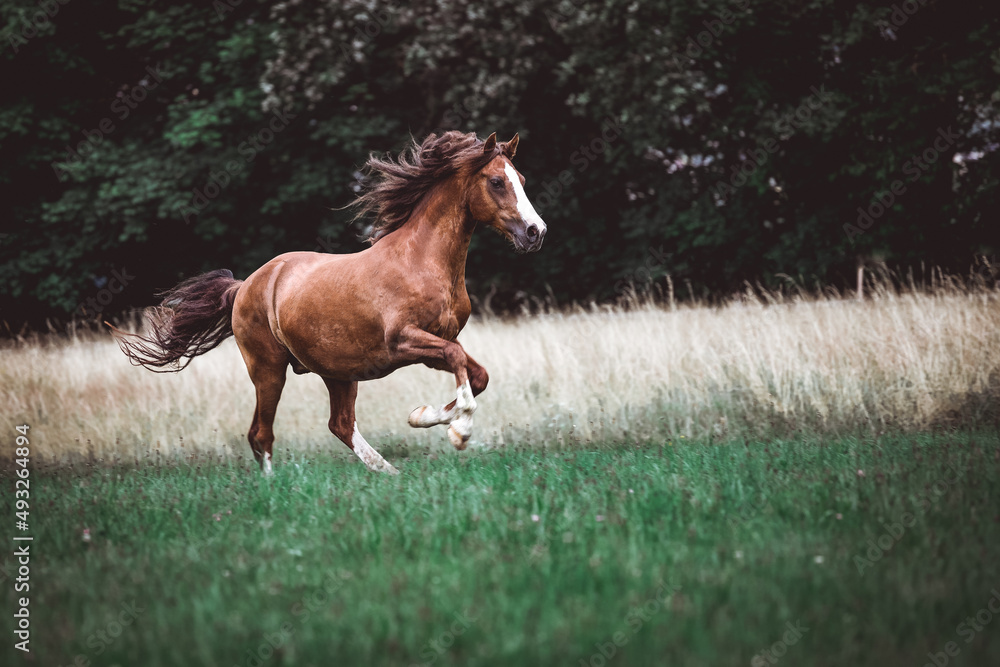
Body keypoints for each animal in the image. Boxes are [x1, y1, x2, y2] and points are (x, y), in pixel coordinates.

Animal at [109, 131, 546, 475]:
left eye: (522, 179)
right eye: (496, 181)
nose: (535, 232)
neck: (421, 261)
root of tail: (245, 285)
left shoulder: (439, 341)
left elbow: (477, 375)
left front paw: (426, 418)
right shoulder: (404, 341)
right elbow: (460, 365)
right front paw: (457, 430)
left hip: (338, 371)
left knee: (339, 424)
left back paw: (389, 473)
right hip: (269, 370)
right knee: (262, 433)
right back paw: (274, 490)